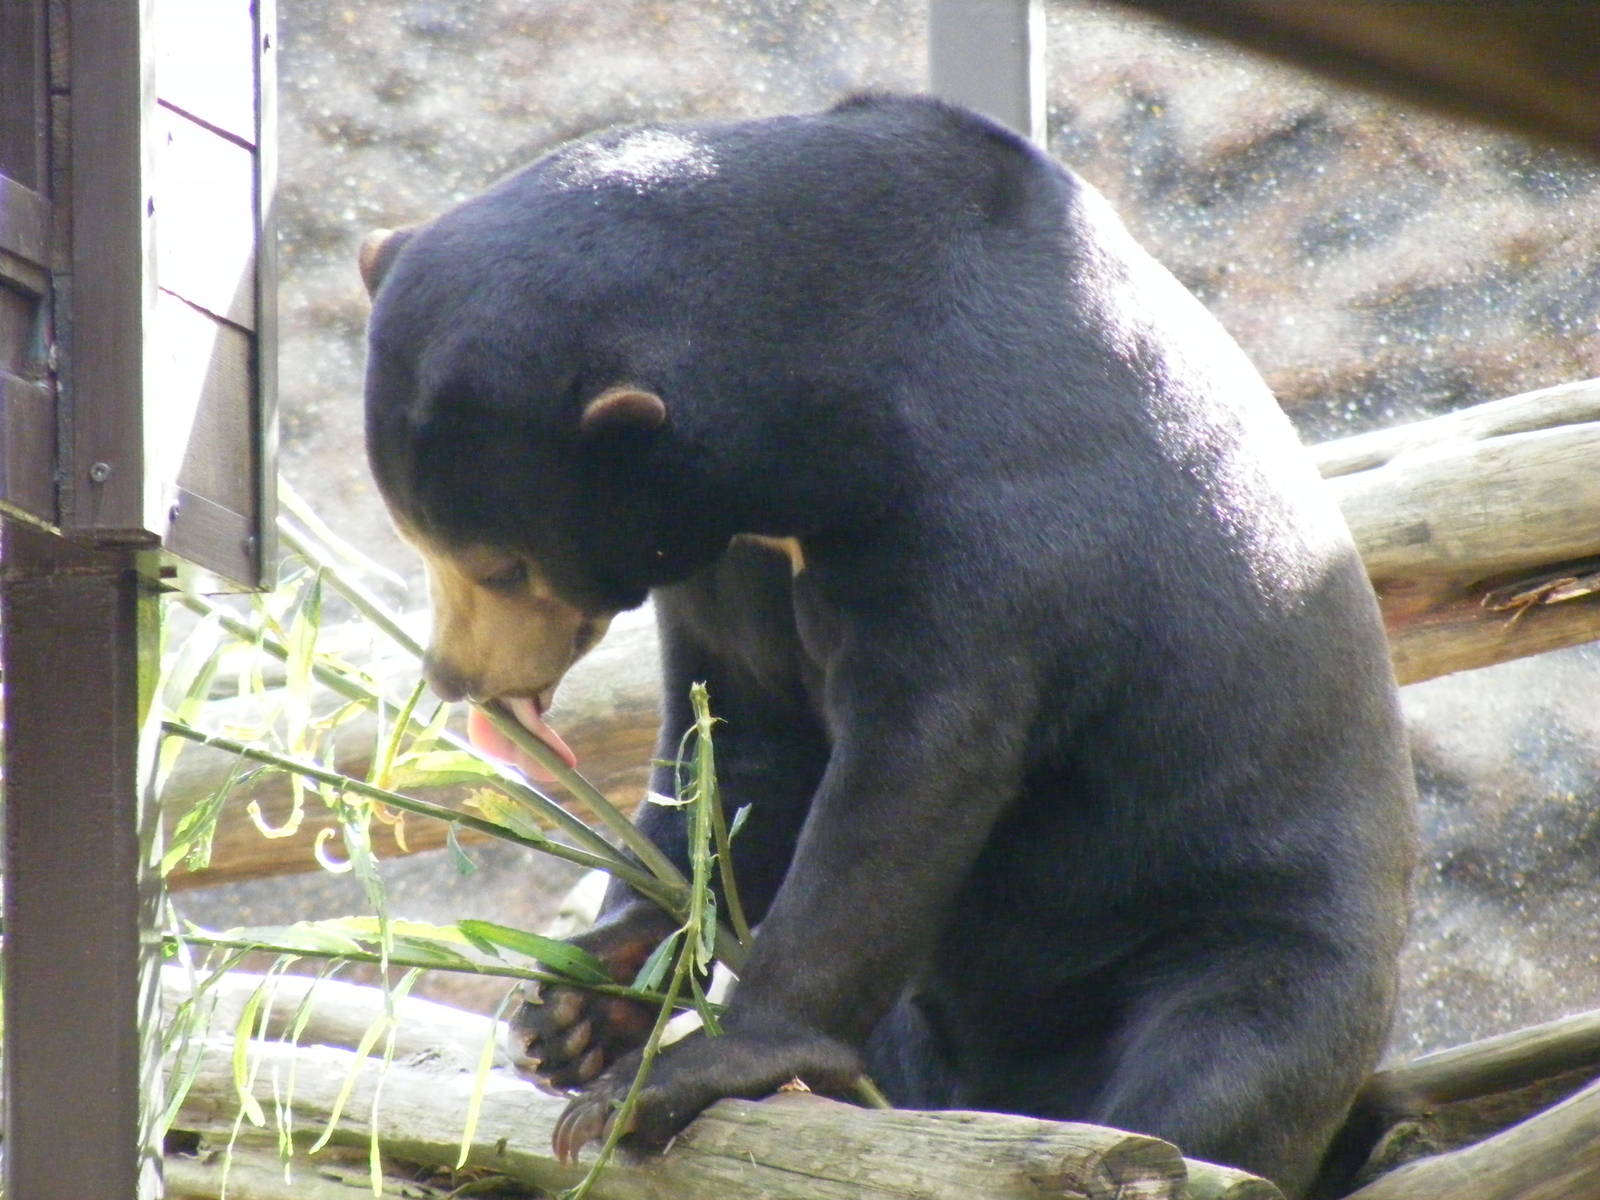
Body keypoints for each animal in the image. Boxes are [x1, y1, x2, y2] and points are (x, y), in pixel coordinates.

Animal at [359, 94, 1415, 1197]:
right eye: (421, 541)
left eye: (505, 565)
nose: (460, 678)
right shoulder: (731, 557)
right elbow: (729, 755)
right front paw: (580, 1004)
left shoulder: (997, 526)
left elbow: (908, 787)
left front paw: (670, 1081)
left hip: (1257, 932)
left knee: (1219, 1066)